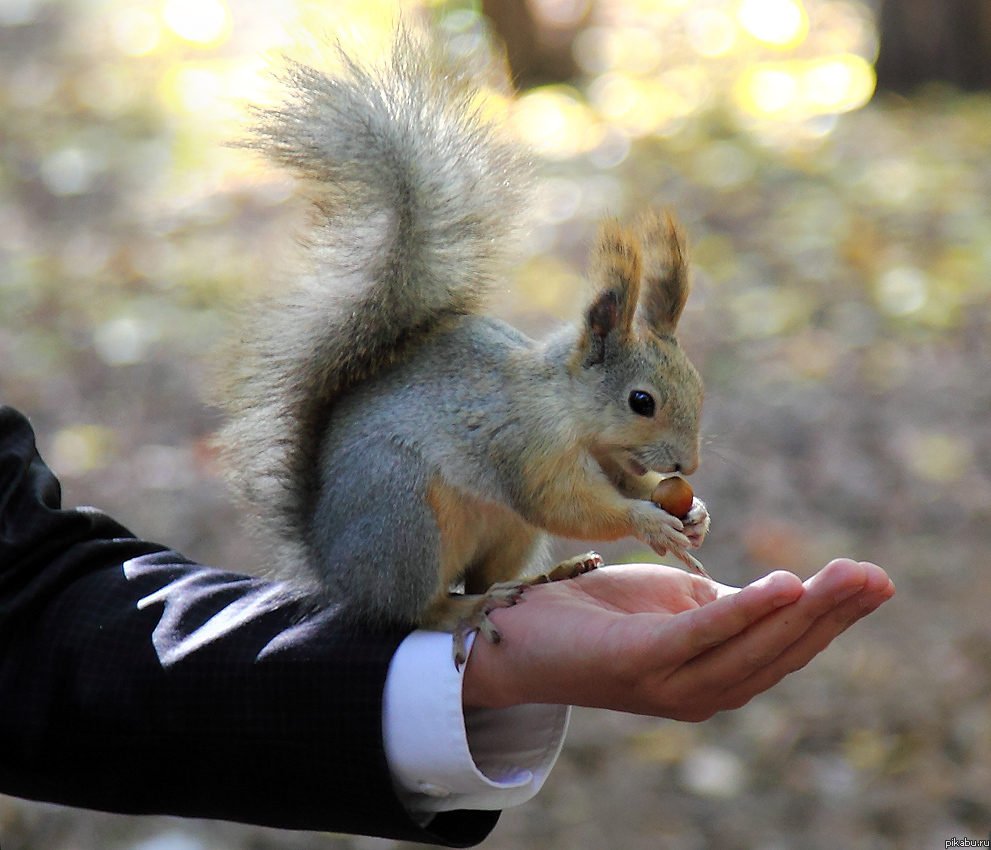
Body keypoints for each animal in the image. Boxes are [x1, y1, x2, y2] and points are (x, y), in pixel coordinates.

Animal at [218, 28, 712, 664]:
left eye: (697, 387)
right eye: (641, 402)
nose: (687, 465)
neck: (569, 410)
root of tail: (334, 570)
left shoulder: (608, 459)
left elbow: (626, 486)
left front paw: (691, 512)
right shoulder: (526, 447)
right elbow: (564, 503)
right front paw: (649, 523)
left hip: (506, 532)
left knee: (483, 574)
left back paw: (549, 576)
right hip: (405, 517)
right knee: (416, 607)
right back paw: (468, 609)